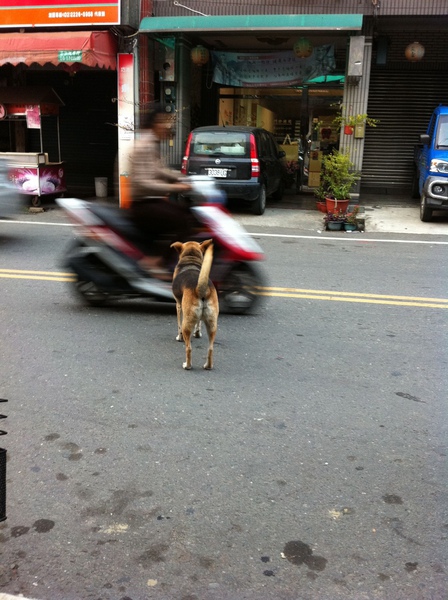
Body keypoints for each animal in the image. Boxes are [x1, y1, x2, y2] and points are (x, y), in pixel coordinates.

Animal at [170, 239, 219, 370]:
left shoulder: (178, 306)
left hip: (187, 323)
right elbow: (199, 323)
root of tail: (200, 289)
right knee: (210, 349)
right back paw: (208, 366)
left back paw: (187, 365)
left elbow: (178, 326)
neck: (190, 260)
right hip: (212, 325)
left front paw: (179, 337)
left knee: (189, 348)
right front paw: (197, 333)